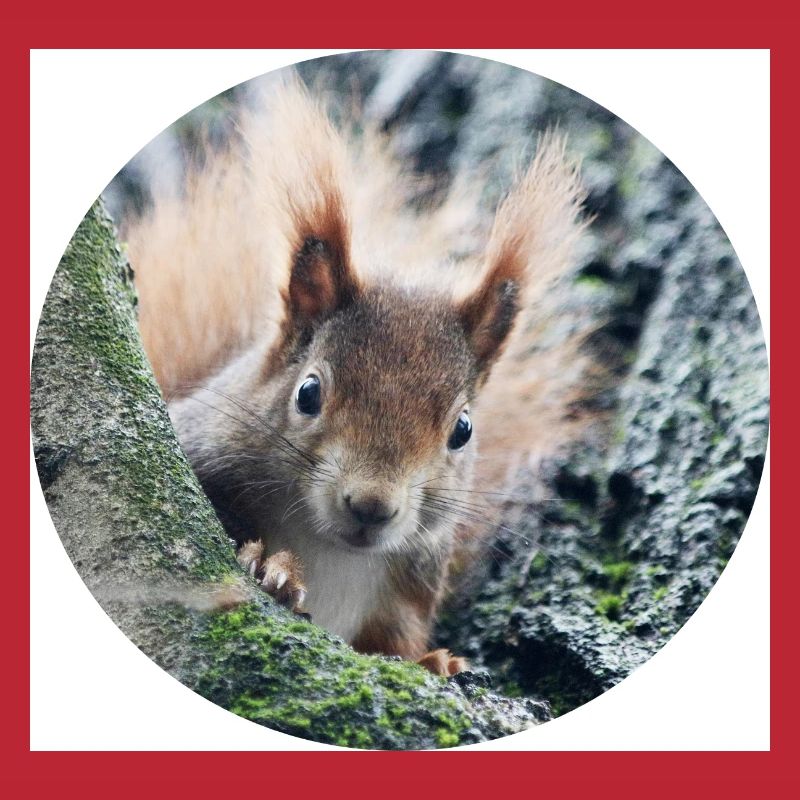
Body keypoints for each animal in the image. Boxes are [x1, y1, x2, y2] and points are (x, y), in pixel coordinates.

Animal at [123, 78, 586, 676]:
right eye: (308, 393)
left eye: (463, 430)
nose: (372, 506)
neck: (332, 552)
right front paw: (272, 567)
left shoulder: (406, 592)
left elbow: (396, 642)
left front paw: (435, 662)